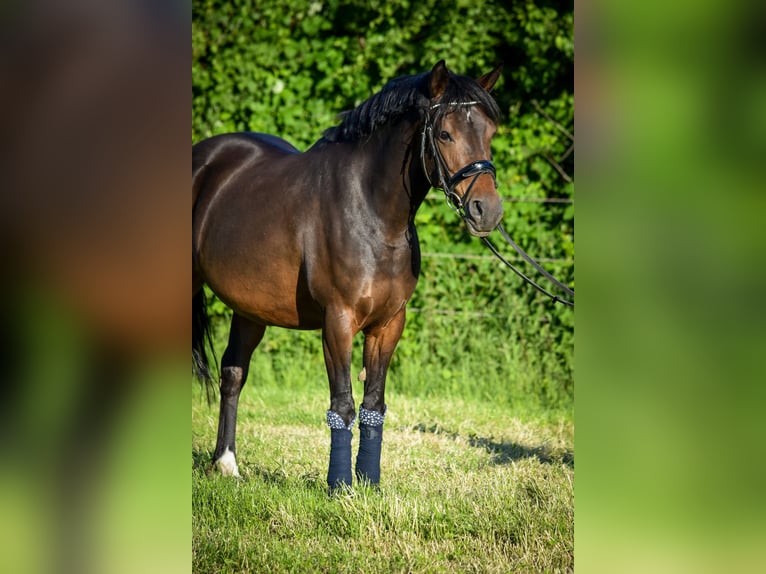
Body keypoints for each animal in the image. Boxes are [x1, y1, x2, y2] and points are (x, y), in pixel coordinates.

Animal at [194, 59, 504, 496]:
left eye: (490, 132)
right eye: (445, 133)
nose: (487, 210)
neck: (371, 212)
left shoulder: (388, 324)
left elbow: (373, 404)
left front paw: (369, 483)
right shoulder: (337, 320)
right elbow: (342, 404)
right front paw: (340, 488)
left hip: (250, 309)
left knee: (233, 373)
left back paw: (226, 464)